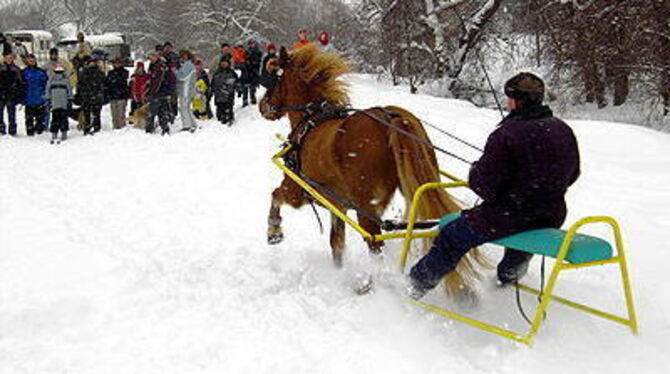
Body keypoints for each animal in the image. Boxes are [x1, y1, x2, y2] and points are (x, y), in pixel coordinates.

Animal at [260, 44, 486, 296]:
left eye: (272, 78)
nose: (263, 106)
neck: (310, 123)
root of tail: (393, 117)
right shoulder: (337, 205)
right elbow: (336, 243)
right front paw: (337, 272)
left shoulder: (297, 189)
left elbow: (275, 195)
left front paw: (274, 232)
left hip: (366, 207)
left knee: (374, 244)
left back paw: (367, 286)